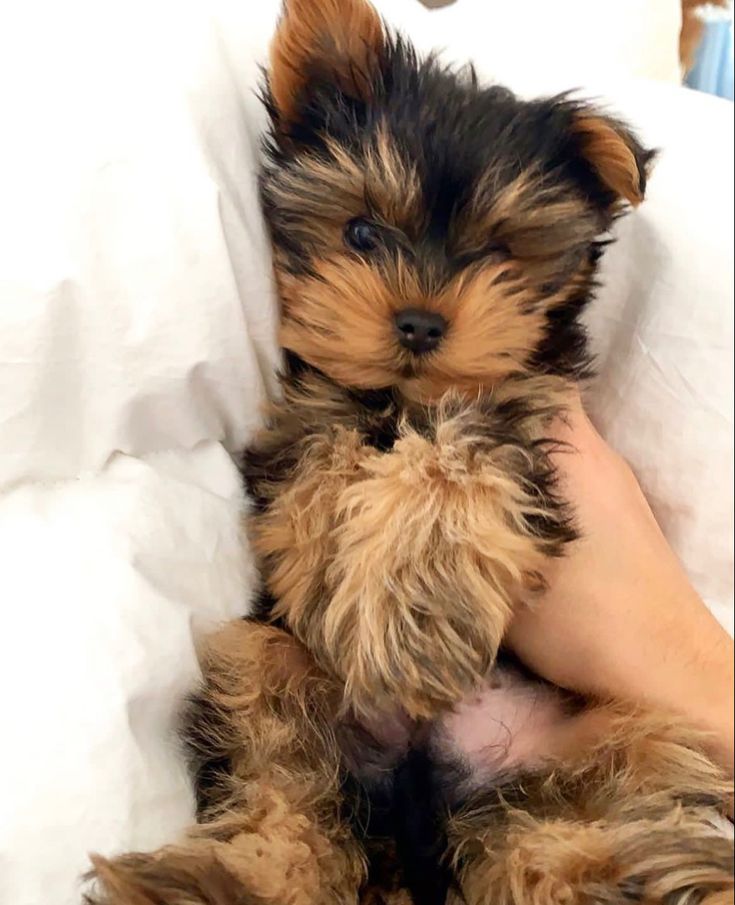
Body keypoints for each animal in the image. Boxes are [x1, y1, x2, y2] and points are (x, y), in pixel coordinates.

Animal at [87, 1, 735, 904]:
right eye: (361, 232)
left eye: (497, 254)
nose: (422, 321)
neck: (403, 399)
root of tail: (418, 825)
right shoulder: (305, 415)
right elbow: (321, 454)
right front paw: (334, 554)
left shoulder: (523, 403)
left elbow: (456, 454)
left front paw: (411, 599)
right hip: (263, 663)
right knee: (282, 781)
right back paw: (230, 877)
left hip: (613, 735)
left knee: (557, 830)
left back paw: (626, 876)